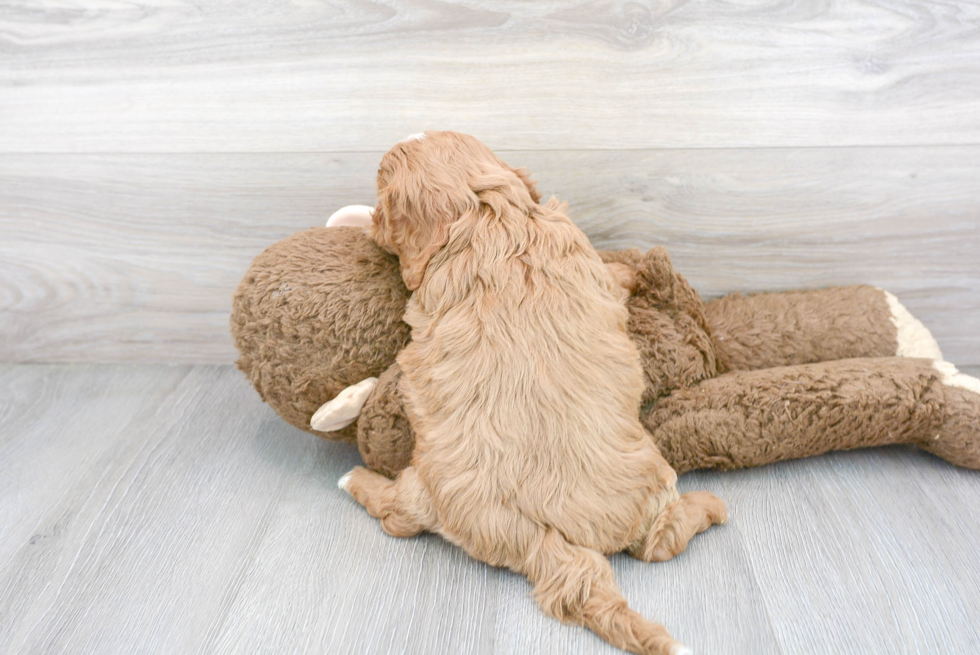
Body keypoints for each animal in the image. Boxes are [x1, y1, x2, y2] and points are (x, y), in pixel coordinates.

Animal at [338, 131, 728, 652]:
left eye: (382, 185)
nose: (373, 217)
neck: (489, 213)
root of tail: (542, 532)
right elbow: (613, 276)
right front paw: (633, 272)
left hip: (427, 490)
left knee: (395, 516)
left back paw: (352, 478)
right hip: (651, 491)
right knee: (660, 542)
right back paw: (711, 506)